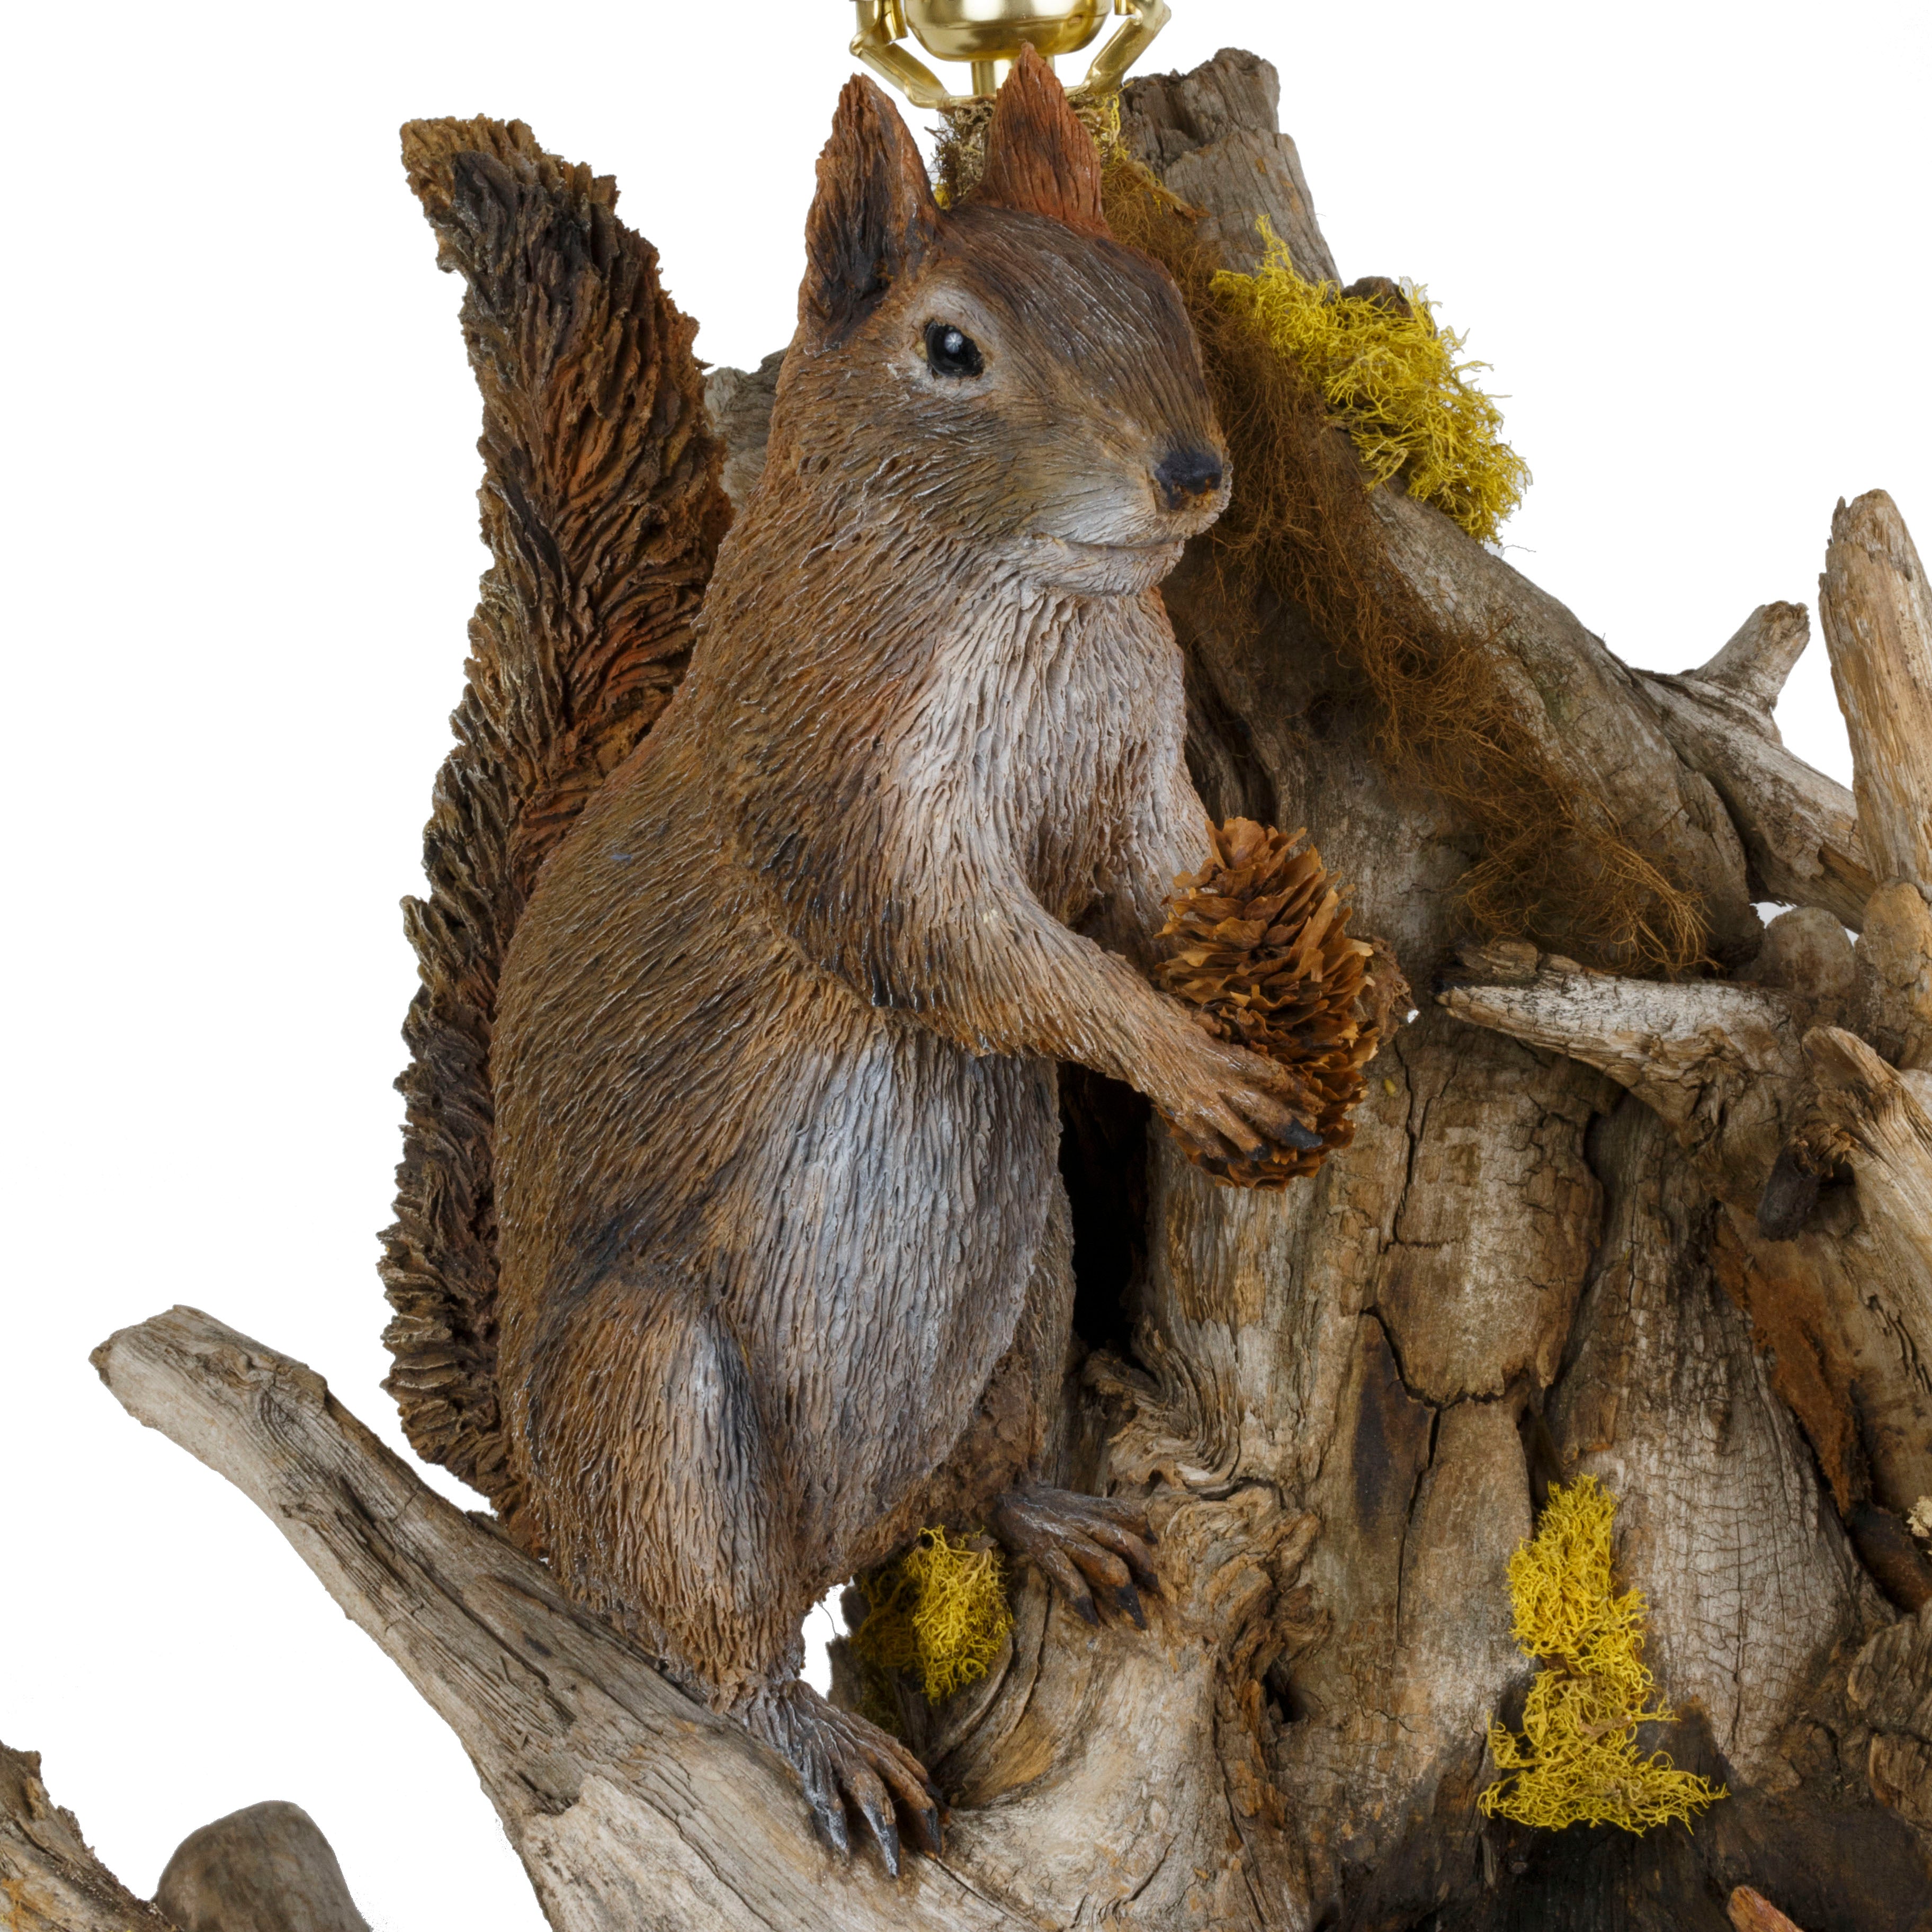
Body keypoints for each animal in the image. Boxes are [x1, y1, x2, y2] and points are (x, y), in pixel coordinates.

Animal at [387, 51, 1315, 1875]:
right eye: (949, 350)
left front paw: (1299, 953)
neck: (1032, 606)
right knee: (705, 1641)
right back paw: (820, 1740)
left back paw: (1058, 1523)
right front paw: (1189, 1056)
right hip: (656, 1411)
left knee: (967, 1487)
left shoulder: (1126, 774)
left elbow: (1161, 875)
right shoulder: (841, 798)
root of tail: (543, 1499)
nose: (1191, 473)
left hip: (1023, 1305)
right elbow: (980, 951)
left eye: (1160, 297)